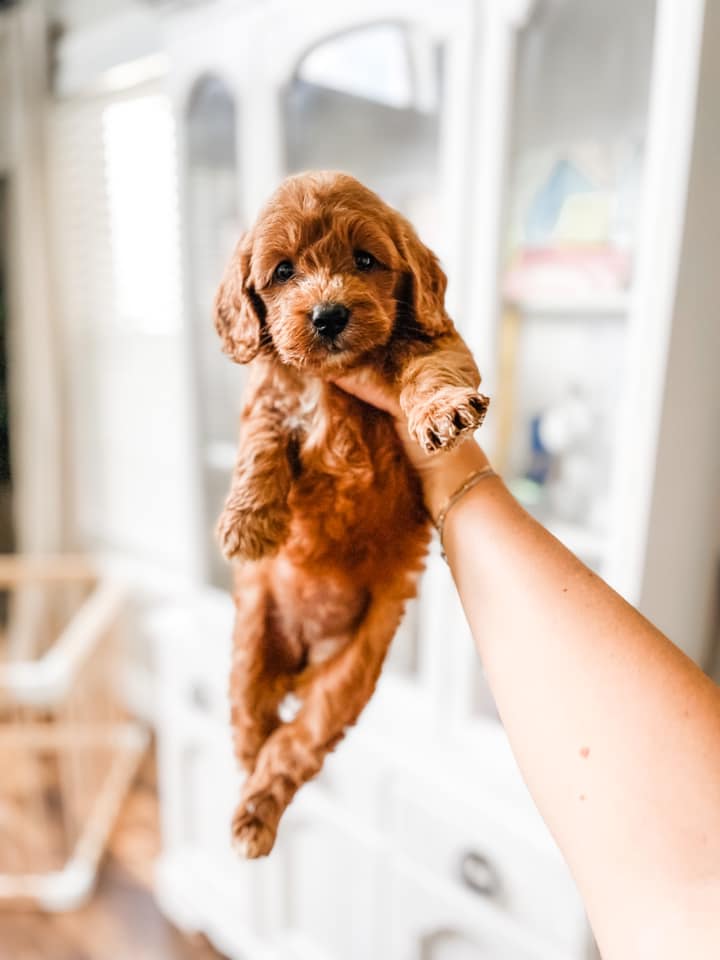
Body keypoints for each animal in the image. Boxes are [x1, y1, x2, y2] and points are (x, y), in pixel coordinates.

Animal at [214, 171, 490, 856]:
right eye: (283, 271)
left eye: (365, 261)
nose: (329, 314)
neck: (333, 380)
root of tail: (303, 661)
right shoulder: (267, 394)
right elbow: (261, 440)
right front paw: (248, 521)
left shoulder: (442, 344)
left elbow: (430, 372)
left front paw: (442, 412)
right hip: (249, 645)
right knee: (251, 725)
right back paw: (247, 788)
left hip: (347, 680)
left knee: (294, 746)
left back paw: (255, 813)